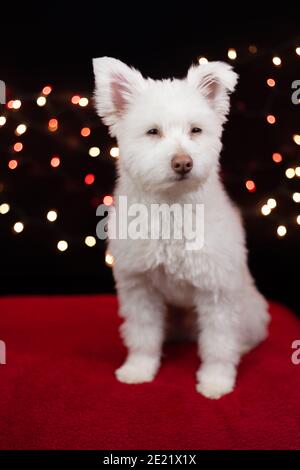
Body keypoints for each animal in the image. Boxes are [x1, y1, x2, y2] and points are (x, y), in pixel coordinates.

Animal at [92, 57, 270, 398]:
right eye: (152, 132)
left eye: (196, 130)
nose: (183, 162)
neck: (171, 206)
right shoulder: (140, 289)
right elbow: (143, 335)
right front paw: (139, 368)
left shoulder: (217, 292)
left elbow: (218, 344)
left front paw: (216, 380)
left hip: (249, 310)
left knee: (242, 335)